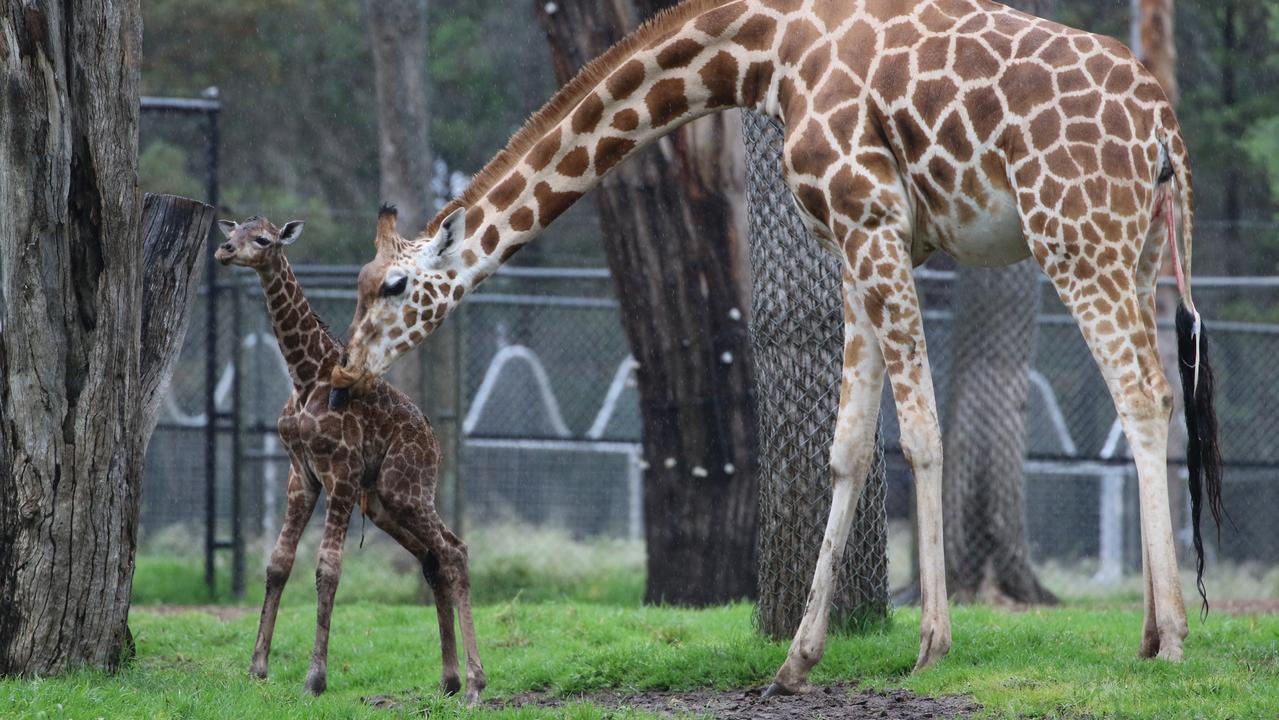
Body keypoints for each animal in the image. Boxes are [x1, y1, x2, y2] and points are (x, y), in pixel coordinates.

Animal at [214, 213, 483, 700]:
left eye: (262, 239)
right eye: (234, 231)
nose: (224, 251)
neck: (305, 376)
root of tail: (434, 440)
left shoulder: (340, 472)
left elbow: (328, 569)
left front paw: (315, 678)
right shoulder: (301, 474)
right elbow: (278, 563)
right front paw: (257, 668)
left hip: (405, 487)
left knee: (455, 550)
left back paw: (475, 683)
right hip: (381, 502)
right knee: (433, 559)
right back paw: (450, 679)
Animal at [335, 0, 1222, 695]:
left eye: (392, 287)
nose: (344, 379)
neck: (767, 47)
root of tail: (1165, 133)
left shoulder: (870, 223)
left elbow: (921, 433)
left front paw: (931, 645)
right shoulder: (858, 245)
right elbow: (847, 447)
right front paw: (797, 658)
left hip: (1075, 238)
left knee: (1139, 394)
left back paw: (1176, 638)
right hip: (1136, 249)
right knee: (1159, 393)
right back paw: (1149, 632)